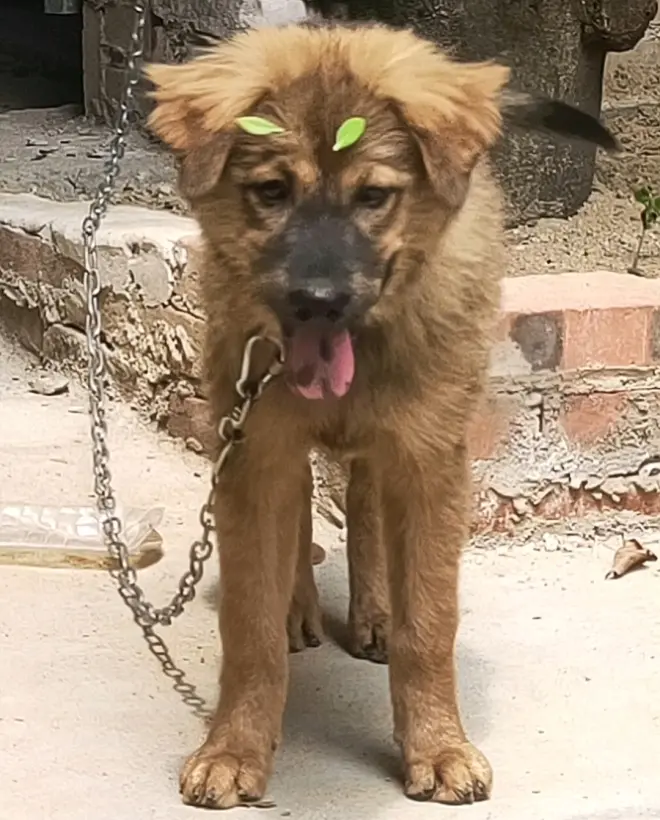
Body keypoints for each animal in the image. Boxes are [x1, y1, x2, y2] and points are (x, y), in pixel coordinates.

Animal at [146, 22, 616, 809]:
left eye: (374, 196)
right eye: (272, 191)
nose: (318, 300)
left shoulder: (429, 460)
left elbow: (429, 621)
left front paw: (438, 747)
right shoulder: (255, 452)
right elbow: (249, 625)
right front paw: (234, 749)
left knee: (364, 506)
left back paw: (372, 615)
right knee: (307, 515)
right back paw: (302, 608)